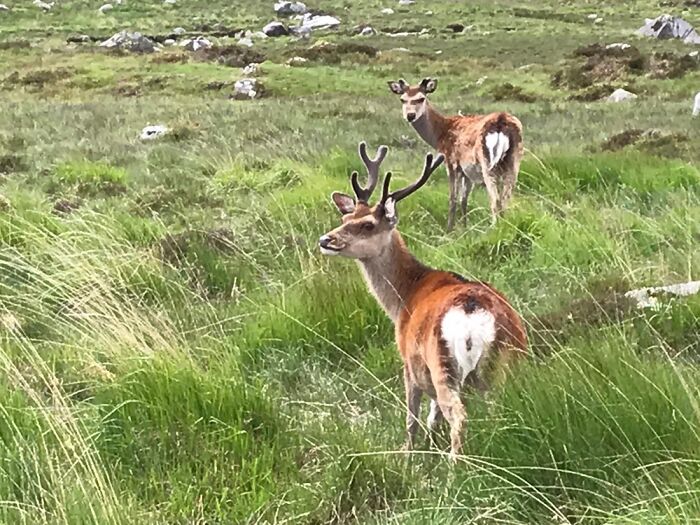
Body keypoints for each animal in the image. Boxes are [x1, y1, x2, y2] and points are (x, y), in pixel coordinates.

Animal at [318, 142, 527, 460]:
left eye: (367, 225)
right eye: (345, 218)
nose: (325, 240)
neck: (404, 297)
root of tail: (475, 313)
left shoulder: (408, 362)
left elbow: (412, 419)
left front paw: (407, 457)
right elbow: (431, 419)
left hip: (442, 362)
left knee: (458, 416)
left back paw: (456, 468)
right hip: (508, 363)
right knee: (497, 409)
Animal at [388, 77, 524, 231]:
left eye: (421, 98)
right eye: (402, 99)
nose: (410, 115)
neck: (440, 134)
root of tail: (502, 121)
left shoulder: (451, 162)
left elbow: (452, 199)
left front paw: (449, 229)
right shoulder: (468, 172)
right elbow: (464, 200)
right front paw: (465, 227)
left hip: (487, 164)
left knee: (495, 200)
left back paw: (493, 229)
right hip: (514, 162)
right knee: (506, 199)